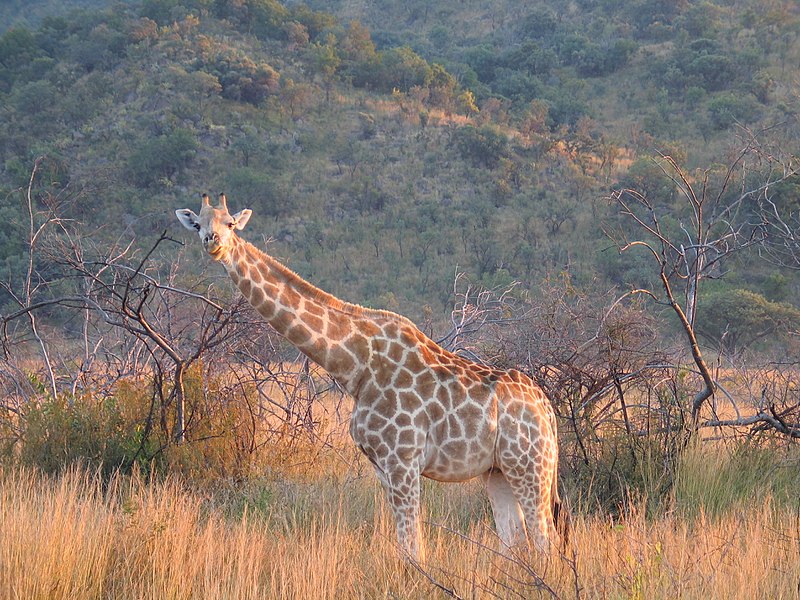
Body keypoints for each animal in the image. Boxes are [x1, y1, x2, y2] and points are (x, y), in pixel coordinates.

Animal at [177, 195, 564, 560]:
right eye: (198, 224)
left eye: (230, 223)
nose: (213, 242)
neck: (355, 366)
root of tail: (547, 409)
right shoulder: (381, 465)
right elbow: (407, 544)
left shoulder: (402, 460)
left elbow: (413, 548)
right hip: (499, 469)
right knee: (516, 540)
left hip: (531, 466)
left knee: (546, 540)